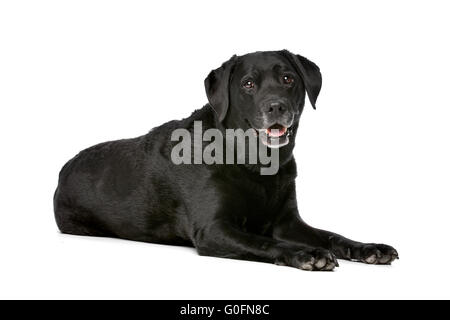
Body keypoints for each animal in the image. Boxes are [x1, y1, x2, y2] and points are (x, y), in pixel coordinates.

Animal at [54, 49, 400, 270]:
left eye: (288, 79)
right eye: (248, 84)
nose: (276, 106)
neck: (257, 164)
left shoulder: (288, 222)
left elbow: (331, 235)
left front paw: (369, 248)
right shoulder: (214, 229)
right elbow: (265, 243)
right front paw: (306, 254)